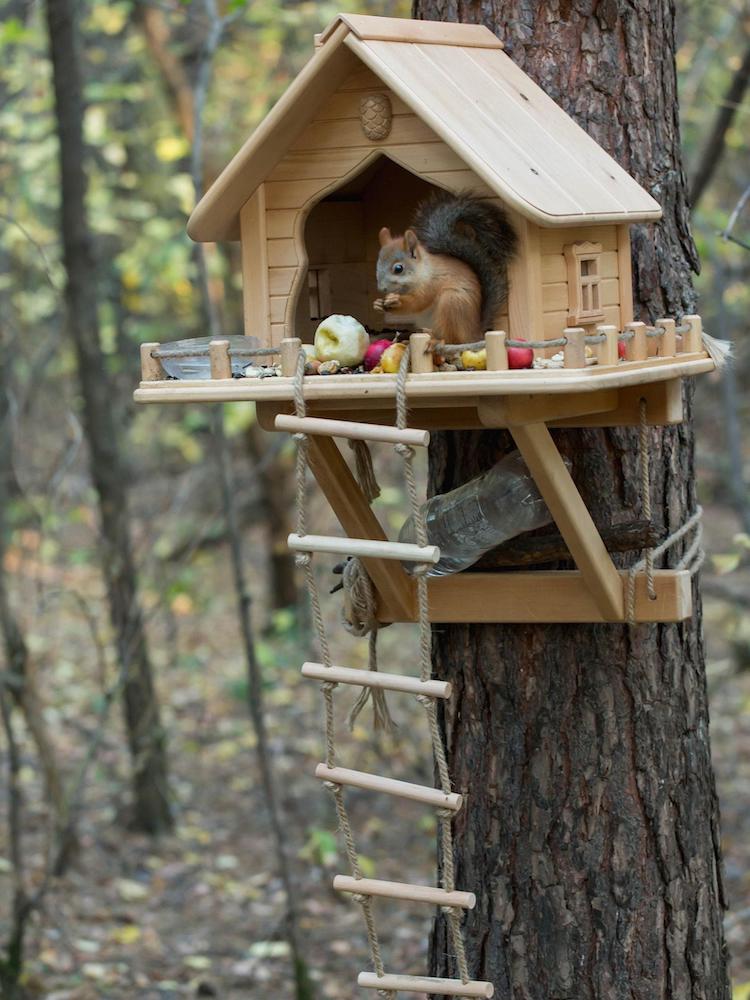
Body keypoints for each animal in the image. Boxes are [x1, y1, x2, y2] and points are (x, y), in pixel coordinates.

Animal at [374, 193, 516, 346]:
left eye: (398, 268)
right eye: (377, 265)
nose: (381, 288)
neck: (422, 272)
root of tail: (474, 332)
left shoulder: (432, 283)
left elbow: (418, 302)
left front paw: (396, 301)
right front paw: (378, 304)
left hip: (452, 302)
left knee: (452, 340)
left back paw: (437, 341)